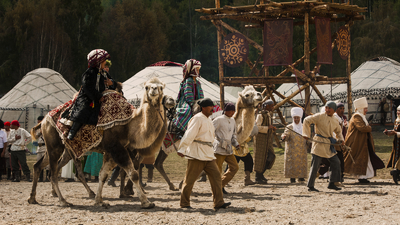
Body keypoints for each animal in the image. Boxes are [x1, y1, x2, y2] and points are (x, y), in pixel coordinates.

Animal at [26, 77, 173, 207]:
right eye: (147, 87)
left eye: (161, 87)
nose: (154, 90)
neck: (129, 125)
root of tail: (44, 120)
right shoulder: (117, 148)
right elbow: (133, 174)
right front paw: (146, 202)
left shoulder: (112, 151)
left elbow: (103, 175)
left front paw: (99, 200)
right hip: (55, 147)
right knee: (53, 172)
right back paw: (63, 201)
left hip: (57, 148)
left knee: (39, 166)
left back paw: (33, 198)